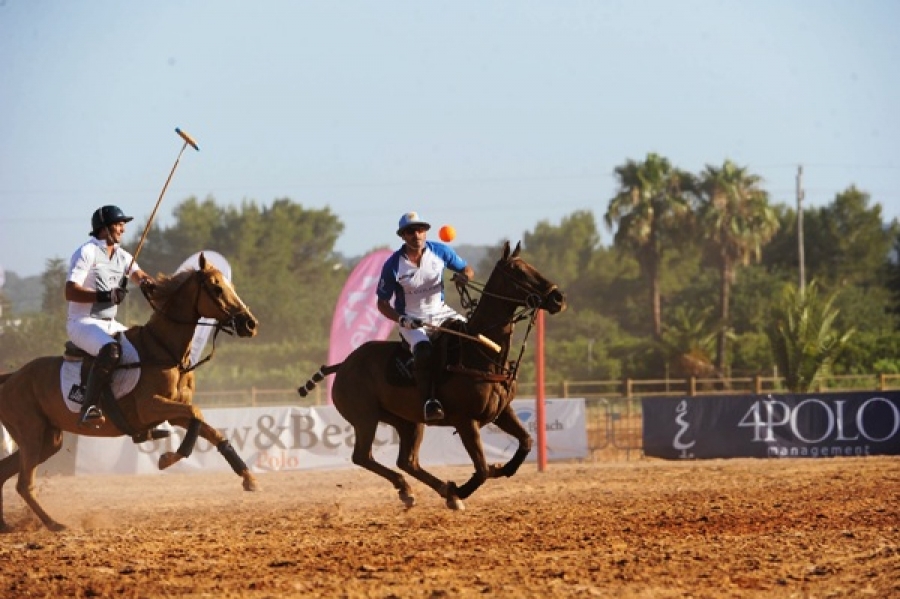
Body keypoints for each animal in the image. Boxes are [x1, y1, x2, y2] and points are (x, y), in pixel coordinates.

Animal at [0, 253, 260, 536]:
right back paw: (55, 524)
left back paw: (6, 524)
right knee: (24, 484)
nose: (250, 324)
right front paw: (168, 458)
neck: (165, 351)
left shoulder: (174, 410)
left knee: (6, 473)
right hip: (31, 434)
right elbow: (196, 413)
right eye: (216, 288)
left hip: (48, 439)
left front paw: (249, 478)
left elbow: (210, 430)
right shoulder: (149, 406)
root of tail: (11, 378)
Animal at [298, 243, 564, 510]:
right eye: (519, 272)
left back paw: (431, 490)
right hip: (365, 417)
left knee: (407, 461)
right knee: (363, 456)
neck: (482, 353)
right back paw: (423, 489)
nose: (558, 298)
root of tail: (342, 365)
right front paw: (463, 488)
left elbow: (526, 441)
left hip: (407, 420)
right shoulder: (465, 421)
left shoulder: (501, 411)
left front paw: (501, 468)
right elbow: (481, 470)